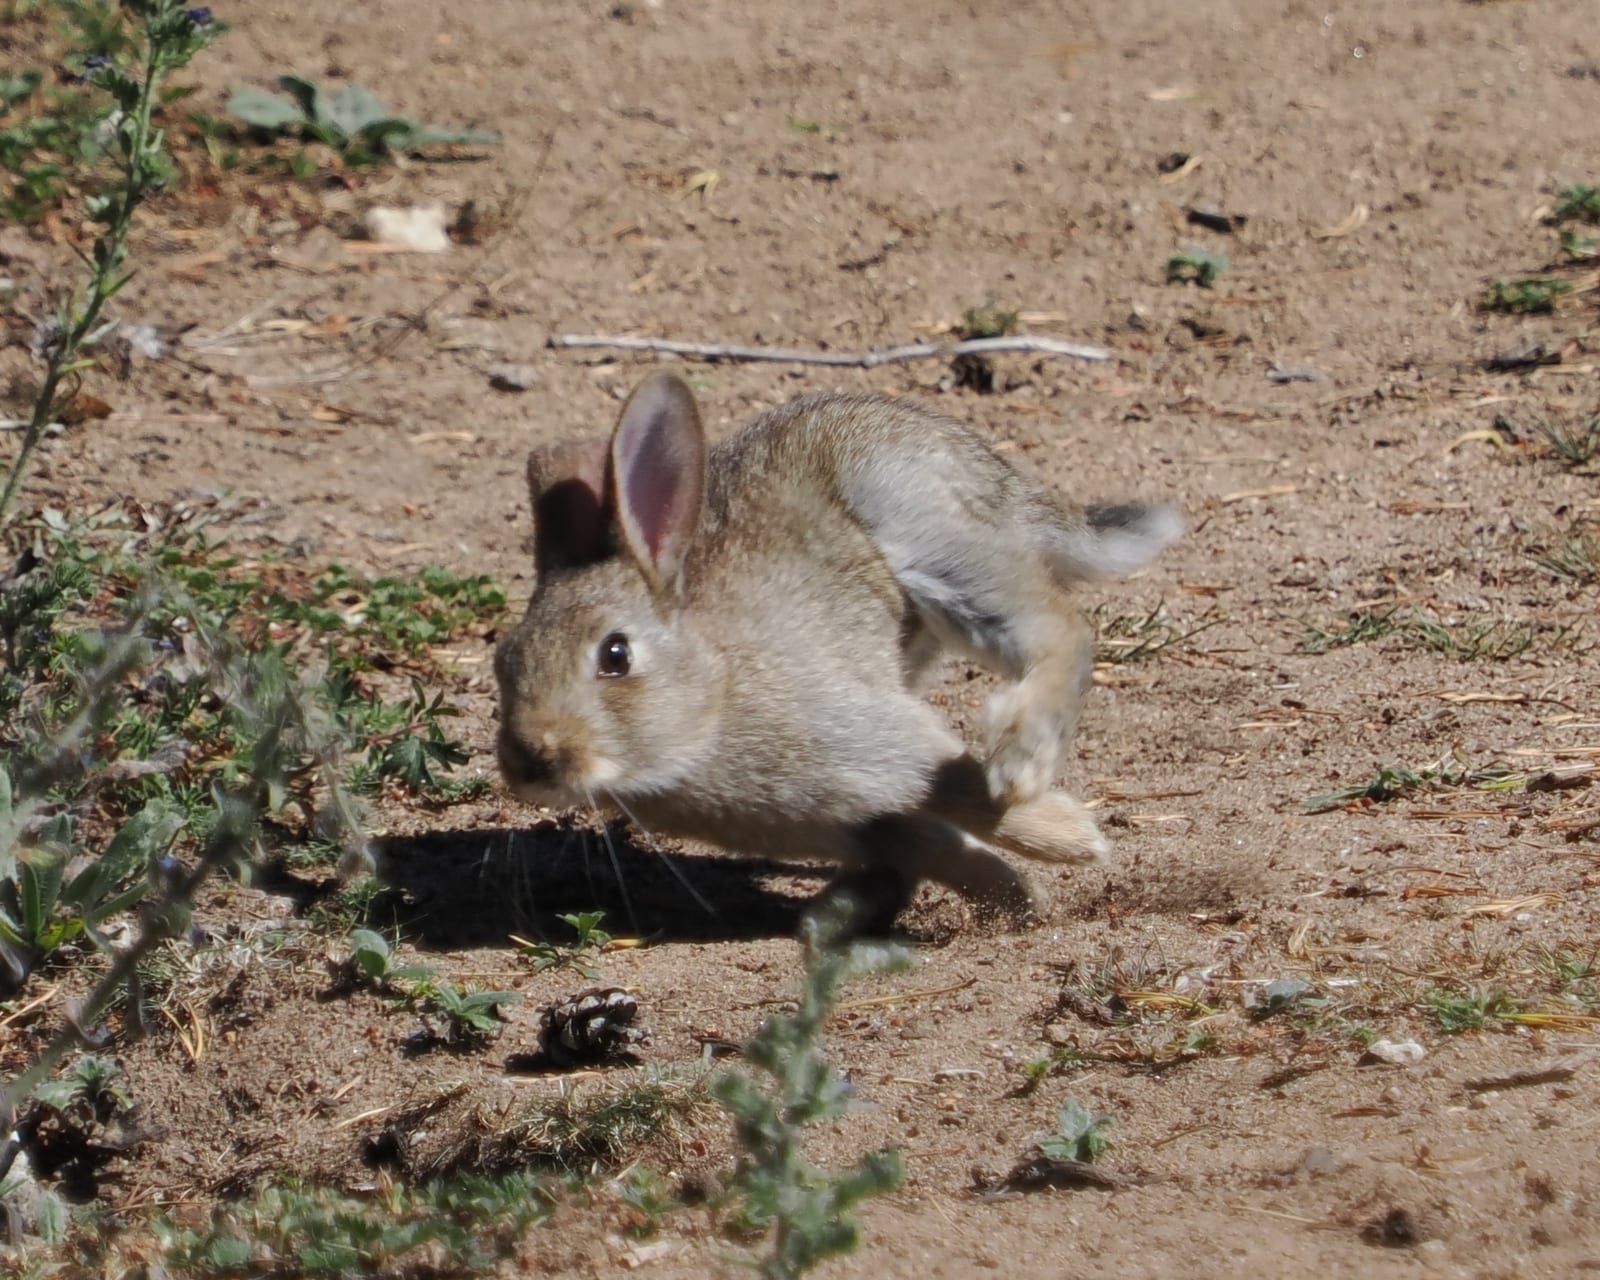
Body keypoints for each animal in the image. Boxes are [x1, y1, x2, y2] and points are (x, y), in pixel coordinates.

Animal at [495, 372, 1180, 924]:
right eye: (504, 662)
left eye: (615, 655)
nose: (530, 761)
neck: (712, 698)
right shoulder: (853, 822)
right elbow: (936, 844)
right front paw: (1017, 899)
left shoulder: (876, 737)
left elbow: (965, 796)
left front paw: (1072, 839)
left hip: (941, 551)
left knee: (1062, 631)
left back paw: (1021, 763)